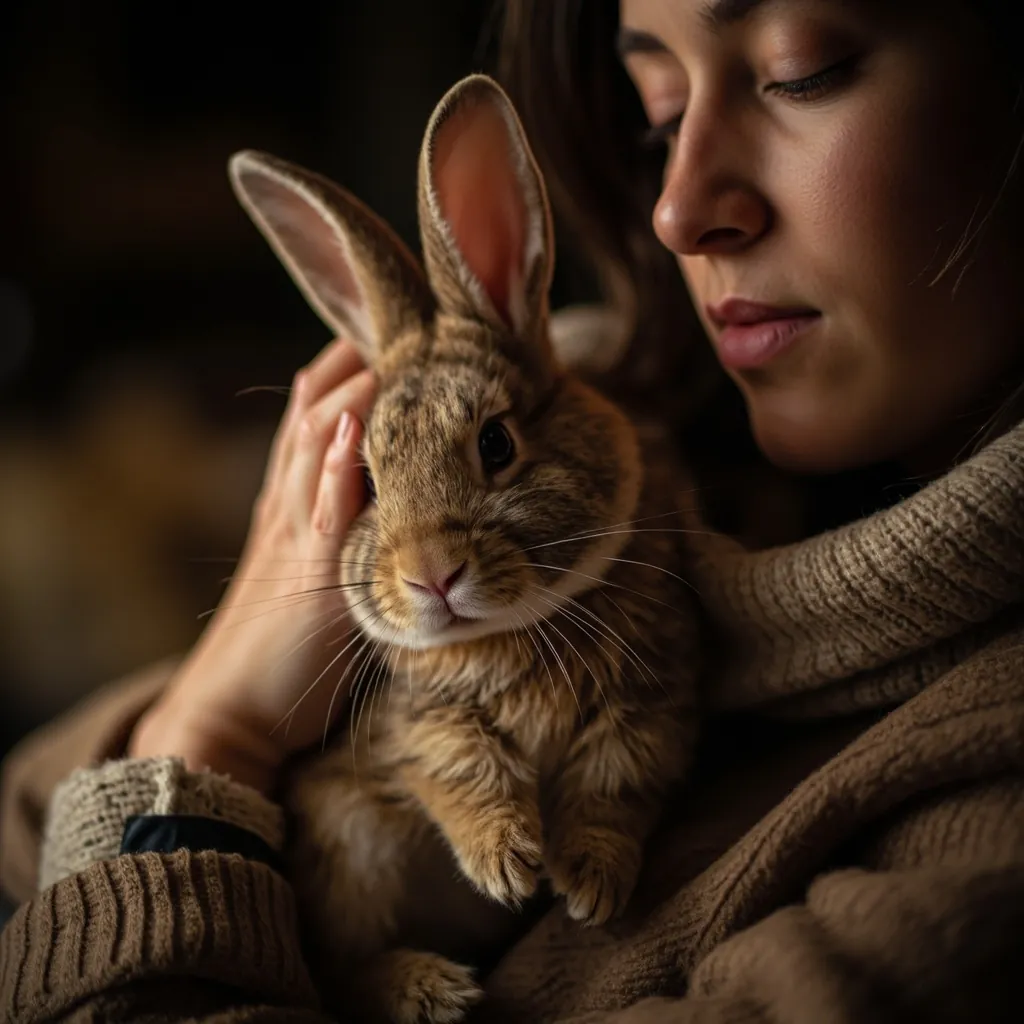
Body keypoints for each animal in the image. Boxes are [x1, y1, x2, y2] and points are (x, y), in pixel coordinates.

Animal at [229, 73, 701, 1024]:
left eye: (496, 443)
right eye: (364, 480)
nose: (430, 576)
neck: (508, 630)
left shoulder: (653, 703)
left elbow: (614, 785)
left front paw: (587, 882)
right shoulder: (408, 728)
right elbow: (461, 766)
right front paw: (508, 860)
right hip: (347, 844)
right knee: (332, 969)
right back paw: (429, 988)